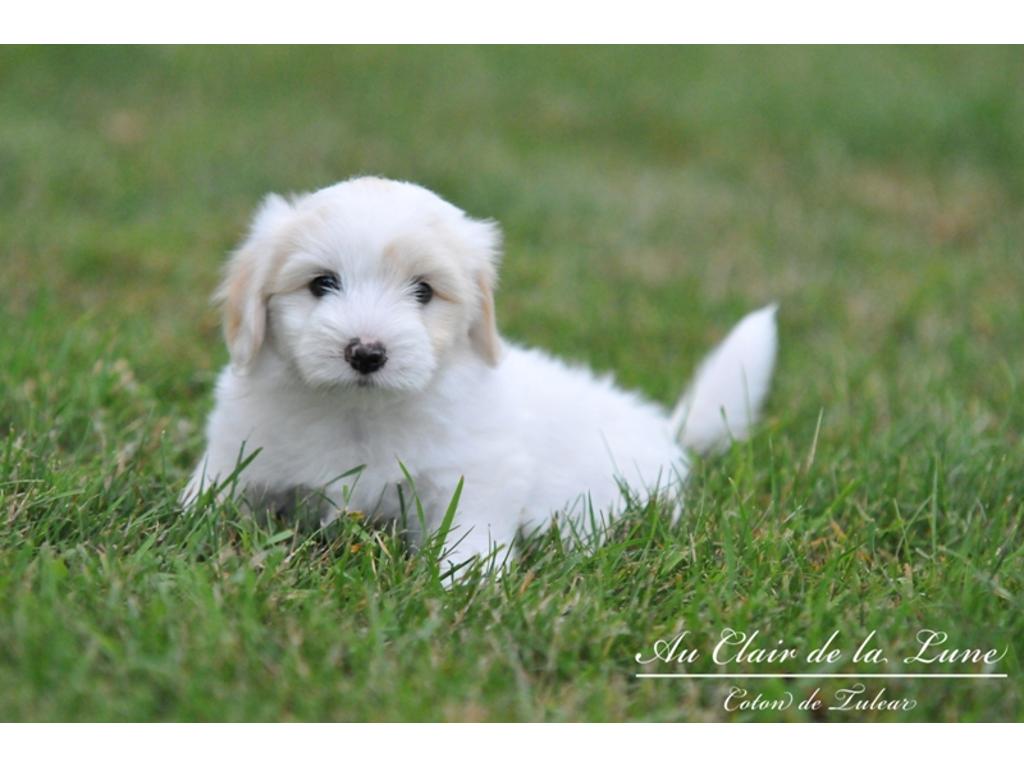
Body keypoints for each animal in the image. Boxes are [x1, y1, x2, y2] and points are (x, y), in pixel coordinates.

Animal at [184, 177, 774, 573]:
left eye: (423, 291)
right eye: (321, 283)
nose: (366, 352)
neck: (359, 411)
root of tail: (664, 429)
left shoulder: (475, 471)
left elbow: (472, 532)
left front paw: (469, 586)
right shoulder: (238, 449)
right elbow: (208, 498)